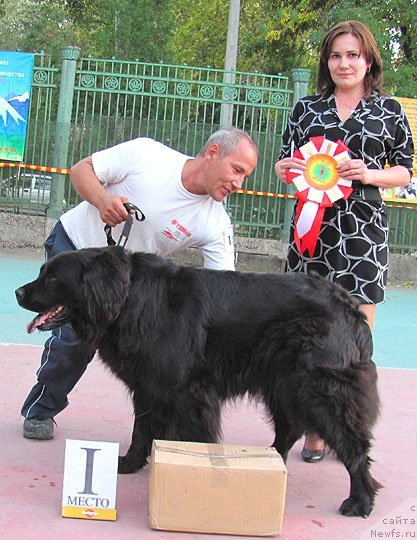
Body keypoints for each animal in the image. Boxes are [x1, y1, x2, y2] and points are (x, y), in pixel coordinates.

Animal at [16, 245, 380, 516]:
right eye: (42, 272)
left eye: (52, 277)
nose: (19, 291)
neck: (129, 298)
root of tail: (347, 303)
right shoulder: (149, 387)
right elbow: (142, 430)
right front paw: (131, 463)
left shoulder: (188, 392)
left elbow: (193, 437)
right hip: (283, 385)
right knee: (289, 429)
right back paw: (269, 463)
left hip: (319, 390)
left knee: (353, 445)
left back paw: (360, 500)